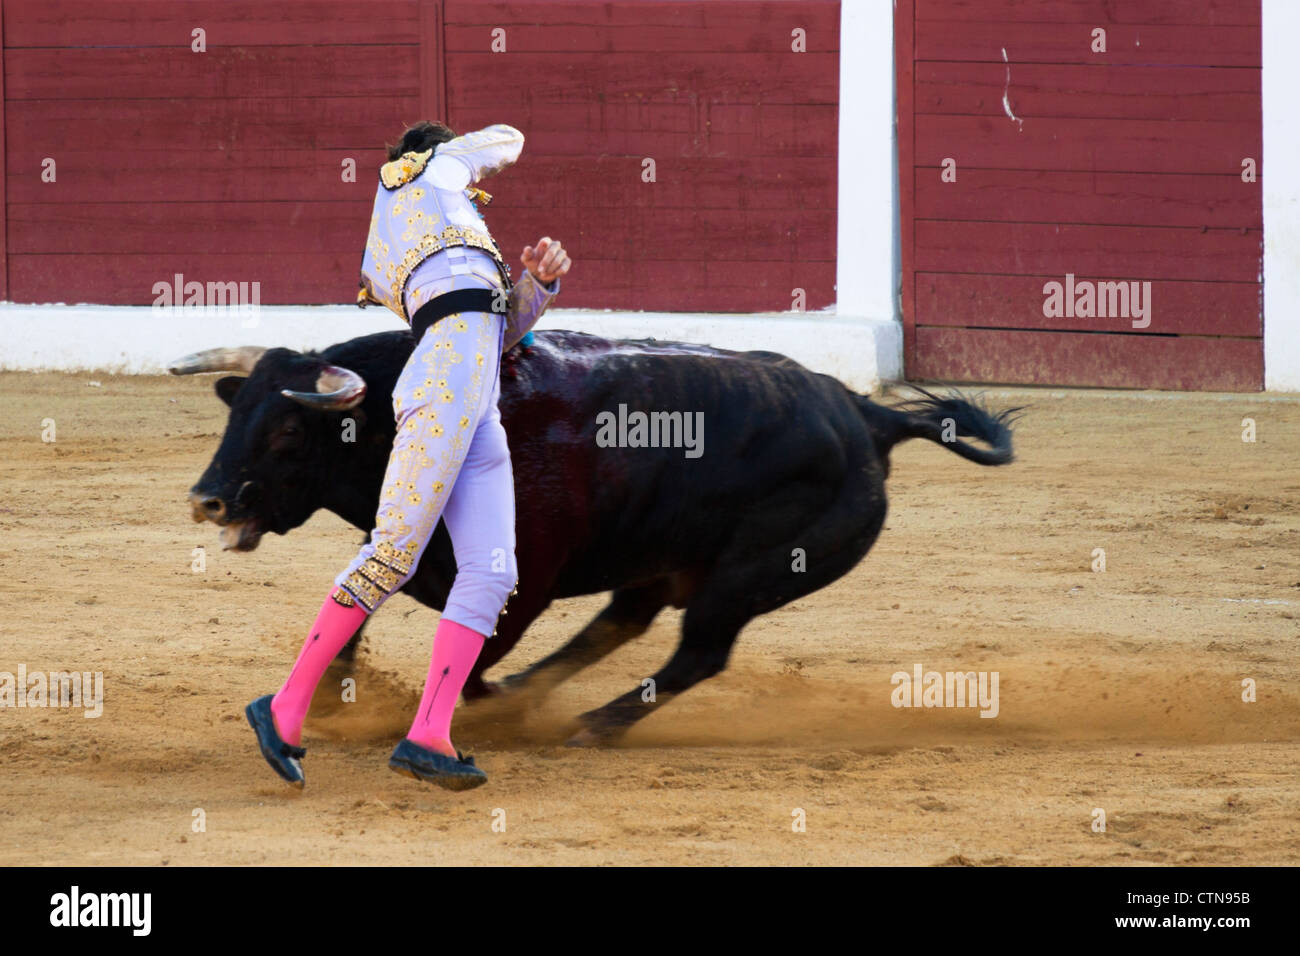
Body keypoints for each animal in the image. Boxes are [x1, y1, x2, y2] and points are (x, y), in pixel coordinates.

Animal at [170, 332, 1013, 743]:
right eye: (235, 410)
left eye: (286, 431)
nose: (208, 500)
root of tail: (867, 417)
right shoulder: (415, 548)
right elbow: (362, 610)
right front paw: (336, 700)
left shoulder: (520, 581)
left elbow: (472, 651)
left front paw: (476, 706)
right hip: (667, 560)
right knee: (623, 623)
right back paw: (533, 701)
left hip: (751, 576)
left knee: (697, 653)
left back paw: (589, 725)